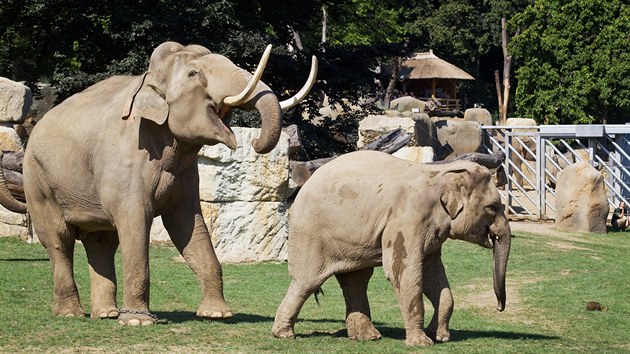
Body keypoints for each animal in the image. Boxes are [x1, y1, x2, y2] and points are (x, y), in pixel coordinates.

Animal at [0, 41, 318, 326]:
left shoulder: (185, 175)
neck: (148, 80)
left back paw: (106, 314)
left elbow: (187, 224)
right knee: (59, 240)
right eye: (193, 74)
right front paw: (138, 322)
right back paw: (71, 315)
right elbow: (135, 223)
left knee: (101, 242)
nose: (253, 142)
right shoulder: (126, 159)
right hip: (39, 181)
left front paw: (218, 314)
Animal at [272, 149, 512, 346]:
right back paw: (284, 334)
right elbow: (402, 271)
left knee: (356, 280)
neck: (439, 174)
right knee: (307, 281)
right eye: (493, 207)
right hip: (311, 232)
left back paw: (367, 337)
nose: (499, 307)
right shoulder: (408, 219)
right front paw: (422, 343)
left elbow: (433, 274)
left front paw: (440, 337)